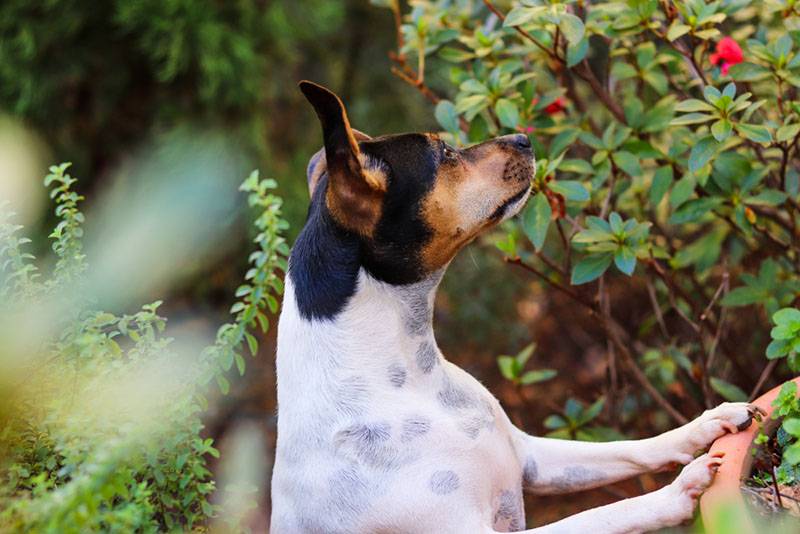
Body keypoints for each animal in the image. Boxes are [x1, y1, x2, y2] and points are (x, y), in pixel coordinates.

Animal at [270, 81, 764, 532]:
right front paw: (679, 489)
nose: (524, 137)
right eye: (444, 152)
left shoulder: (532, 457)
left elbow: (631, 449)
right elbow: (603, 513)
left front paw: (708, 423)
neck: (410, 379)